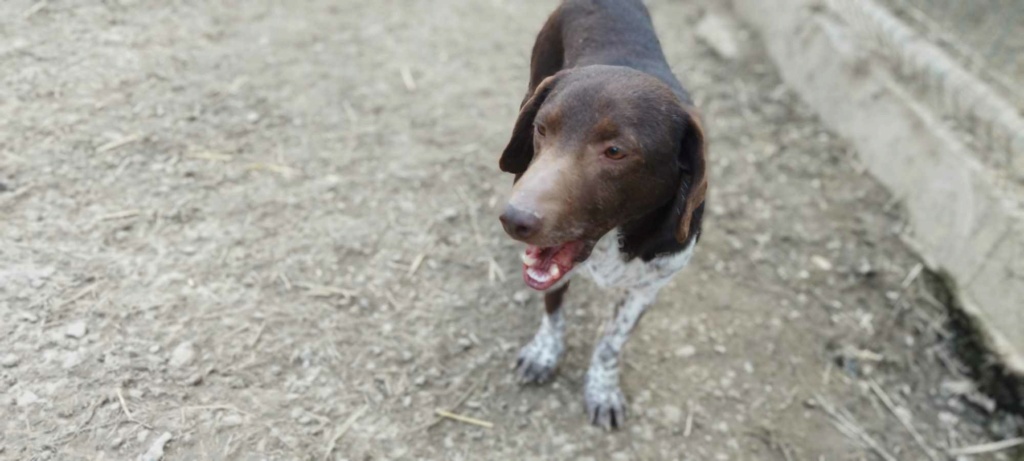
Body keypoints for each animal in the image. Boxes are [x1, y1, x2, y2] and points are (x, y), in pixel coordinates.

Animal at [497, 0, 708, 428]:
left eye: (614, 151)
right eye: (541, 129)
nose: (514, 218)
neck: (614, 242)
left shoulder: (650, 286)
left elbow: (612, 342)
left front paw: (603, 388)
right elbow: (553, 311)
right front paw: (545, 353)